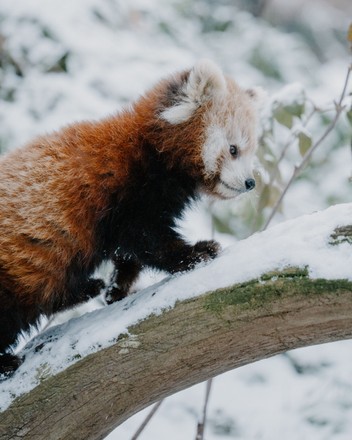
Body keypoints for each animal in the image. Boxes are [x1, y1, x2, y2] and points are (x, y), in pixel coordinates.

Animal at [0, 60, 262, 376]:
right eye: (234, 150)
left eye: (251, 152)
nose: (250, 183)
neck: (152, 149)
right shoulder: (127, 196)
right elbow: (149, 241)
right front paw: (195, 252)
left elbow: (128, 253)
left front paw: (117, 288)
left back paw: (87, 289)